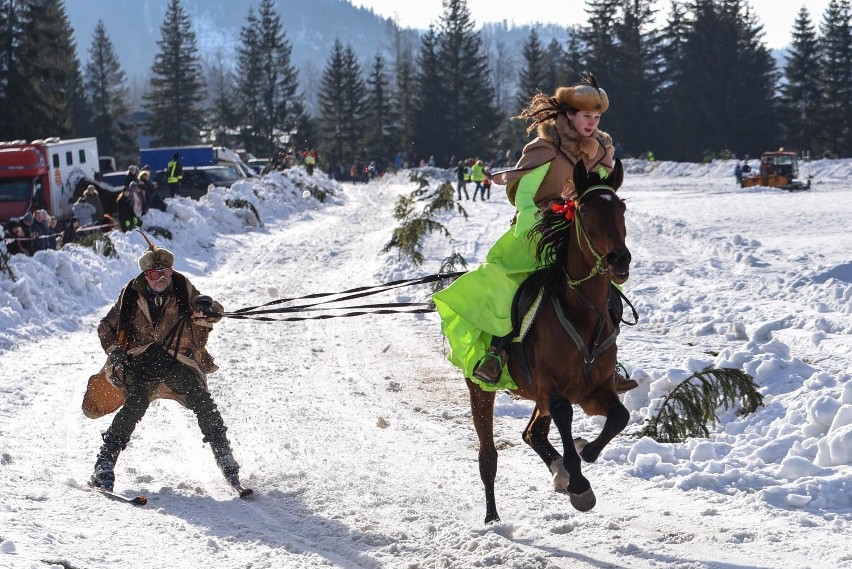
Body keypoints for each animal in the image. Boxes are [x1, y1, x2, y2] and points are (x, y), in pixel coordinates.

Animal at [466, 158, 632, 520]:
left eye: (622, 207)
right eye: (584, 210)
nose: (620, 259)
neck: (584, 316)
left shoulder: (596, 389)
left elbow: (619, 416)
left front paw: (586, 452)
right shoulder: (550, 388)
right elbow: (564, 415)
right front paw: (579, 483)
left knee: (534, 434)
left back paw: (560, 471)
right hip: (480, 388)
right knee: (489, 455)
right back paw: (493, 516)